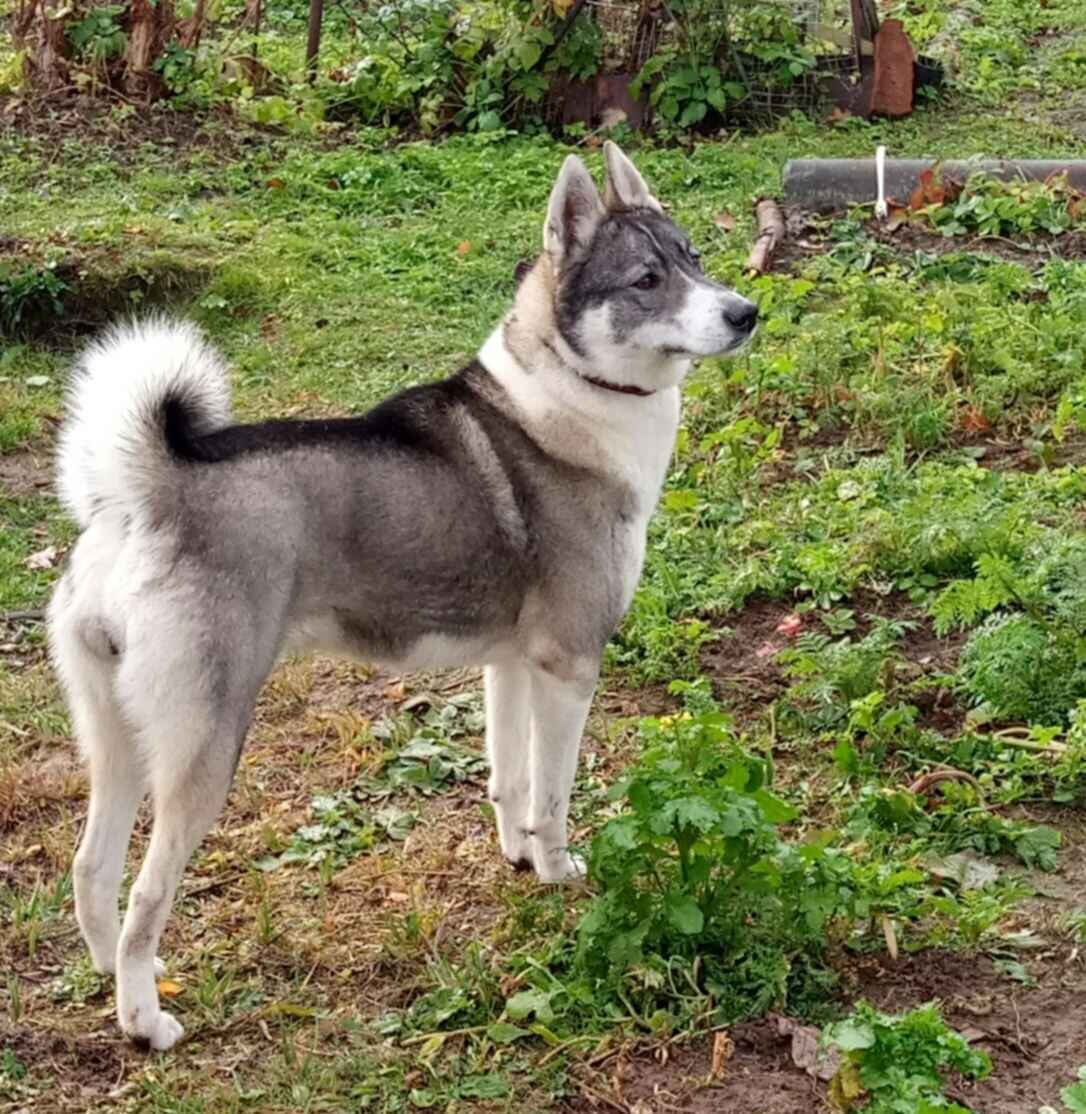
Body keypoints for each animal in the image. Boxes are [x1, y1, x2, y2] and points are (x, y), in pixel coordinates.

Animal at [46, 143, 761, 1047]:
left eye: (695, 260)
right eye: (645, 279)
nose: (746, 312)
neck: (570, 393)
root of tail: (146, 491)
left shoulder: (512, 666)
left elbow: (510, 780)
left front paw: (518, 856)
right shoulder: (569, 667)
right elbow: (554, 793)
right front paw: (558, 872)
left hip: (117, 739)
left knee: (90, 866)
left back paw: (112, 974)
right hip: (203, 746)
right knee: (145, 889)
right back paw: (145, 1019)